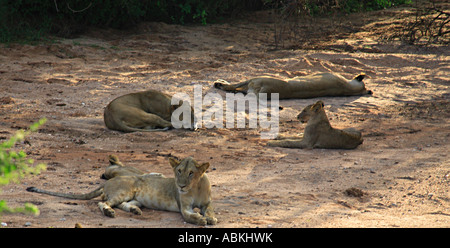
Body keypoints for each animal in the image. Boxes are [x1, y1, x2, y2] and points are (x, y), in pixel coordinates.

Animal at [25, 157, 216, 227]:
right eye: (179, 171)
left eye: (191, 173)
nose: (181, 186)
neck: (196, 188)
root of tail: (108, 182)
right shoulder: (184, 207)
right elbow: (189, 215)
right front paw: (200, 219)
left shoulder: (207, 203)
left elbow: (210, 210)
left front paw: (211, 218)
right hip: (124, 191)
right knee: (104, 202)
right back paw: (109, 212)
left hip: (135, 197)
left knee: (123, 204)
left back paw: (134, 210)